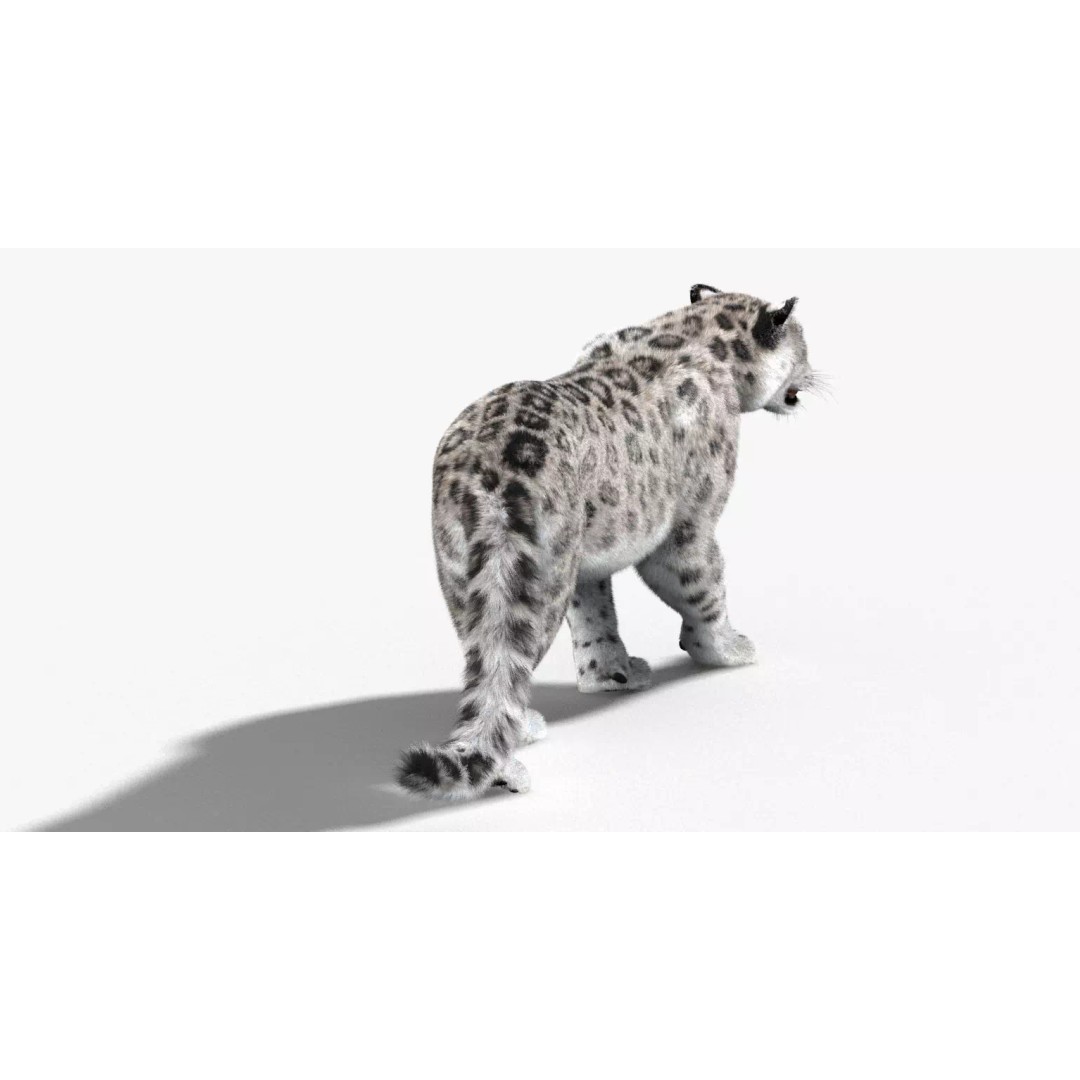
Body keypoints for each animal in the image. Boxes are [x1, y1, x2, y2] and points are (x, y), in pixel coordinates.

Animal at [396, 284, 816, 799]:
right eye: (803, 342)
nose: (810, 374)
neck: (694, 335)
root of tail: (487, 475)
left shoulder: (588, 564)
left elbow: (595, 617)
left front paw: (611, 675)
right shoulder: (689, 528)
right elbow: (704, 588)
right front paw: (725, 648)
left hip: (469, 571)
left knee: (486, 661)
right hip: (537, 586)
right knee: (508, 665)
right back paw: (508, 765)